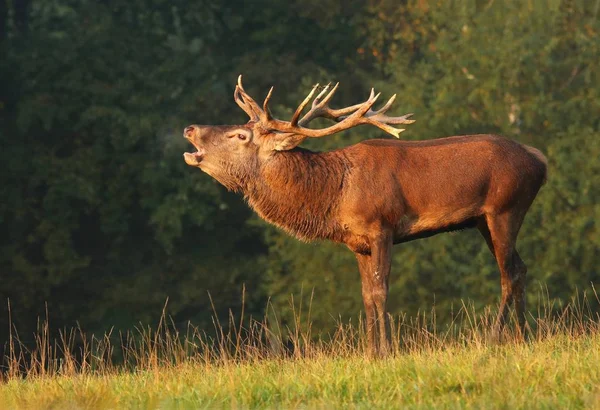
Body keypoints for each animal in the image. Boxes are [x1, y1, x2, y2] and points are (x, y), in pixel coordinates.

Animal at [183, 76, 548, 356]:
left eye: (240, 135)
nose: (189, 128)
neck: (334, 196)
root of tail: (540, 160)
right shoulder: (356, 243)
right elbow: (366, 296)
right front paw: (370, 352)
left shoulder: (381, 226)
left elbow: (380, 289)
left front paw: (387, 351)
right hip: (484, 221)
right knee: (520, 267)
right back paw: (522, 336)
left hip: (505, 208)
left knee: (508, 273)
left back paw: (496, 338)